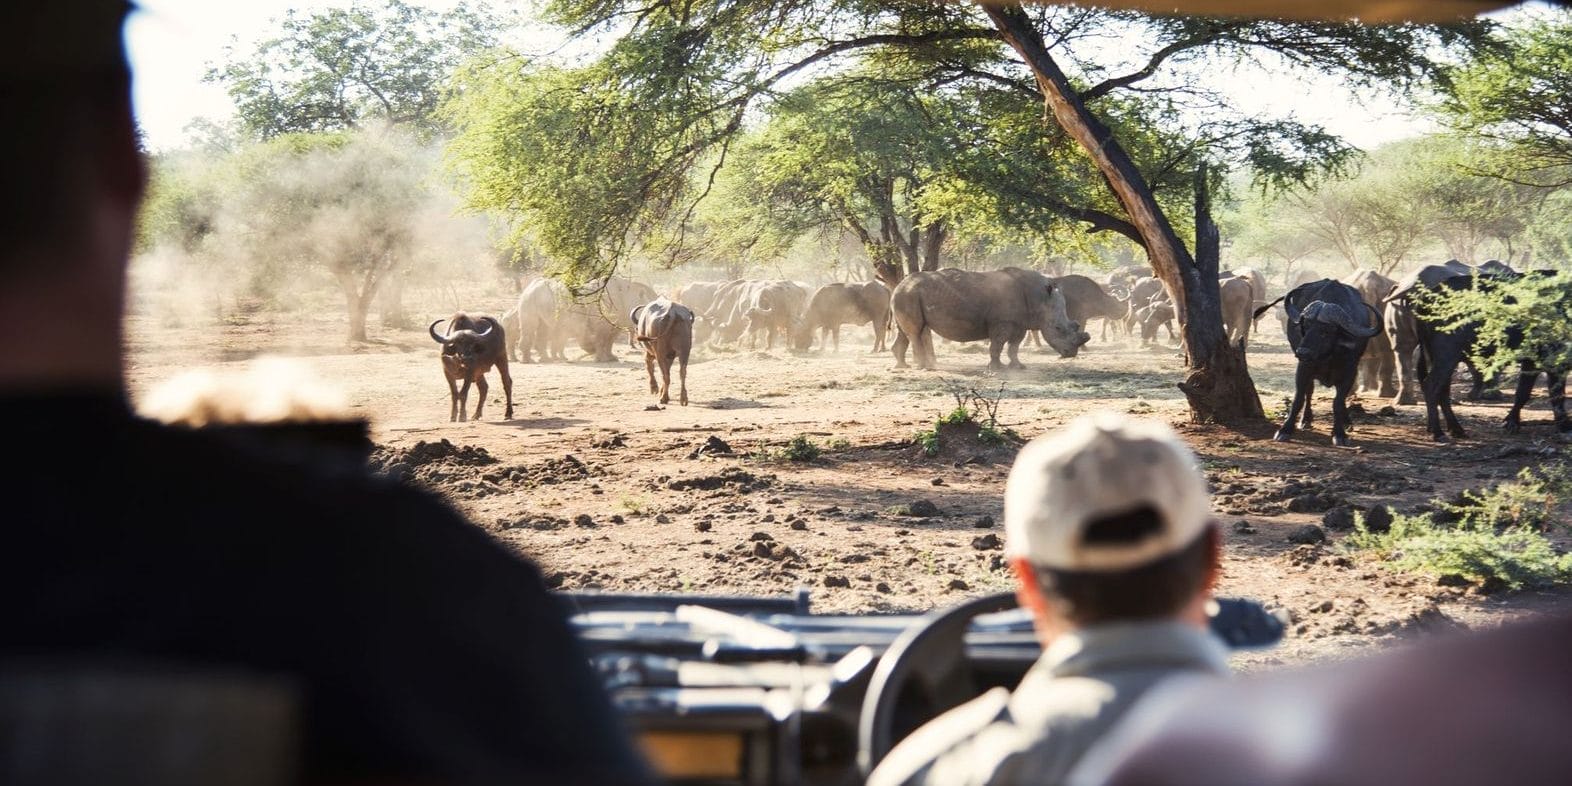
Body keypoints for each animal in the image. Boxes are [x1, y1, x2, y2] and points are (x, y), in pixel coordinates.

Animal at [1251, 279, 1377, 446]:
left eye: (1326, 331)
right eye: (1306, 326)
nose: (1302, 352)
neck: (1328, 357)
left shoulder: (1350, 370)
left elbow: (1338, 401)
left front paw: (1339, 433)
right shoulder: (1304, 367)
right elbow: (1299, 398)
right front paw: (1285, 429)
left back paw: (1346, 421)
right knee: (1309, 391)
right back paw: (1306, 419)